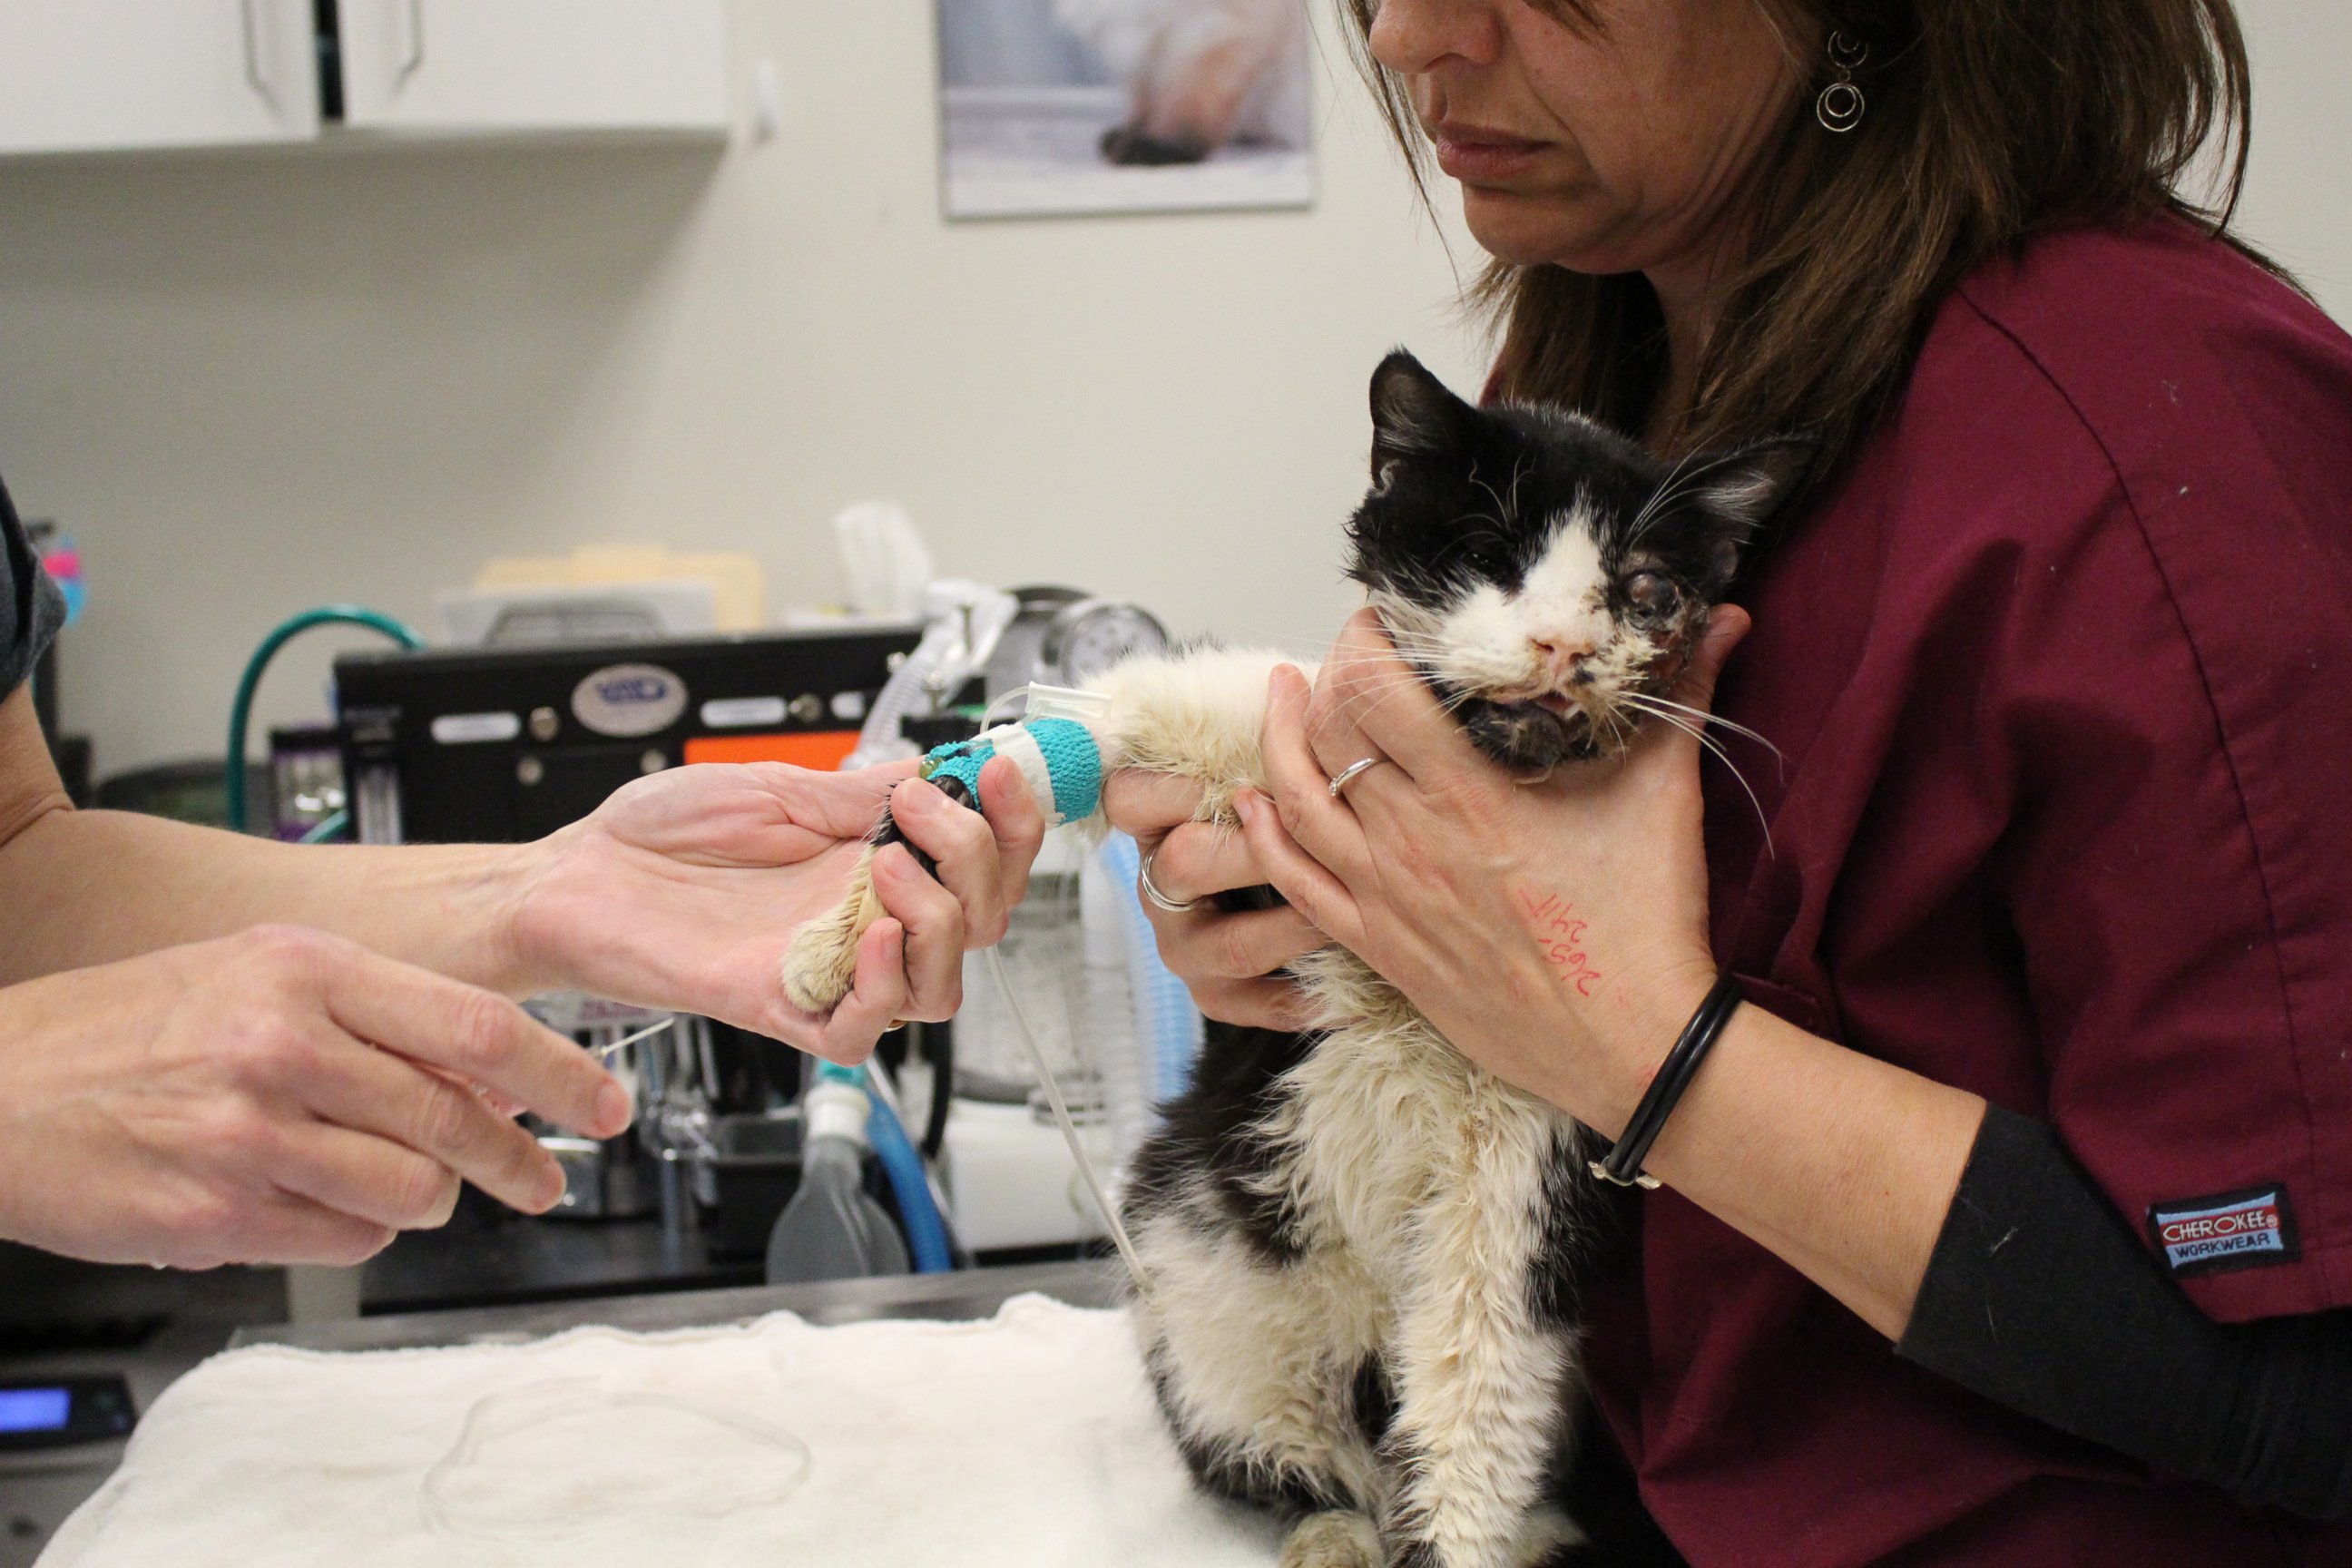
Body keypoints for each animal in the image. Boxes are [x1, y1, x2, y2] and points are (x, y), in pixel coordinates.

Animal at [776, 352, 1797, 1568]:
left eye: (1644, 591)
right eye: (1491, 556)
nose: (1562, 647)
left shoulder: (1521, 1171)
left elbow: (1477, 1403)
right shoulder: (1275, 736)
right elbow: (1083, 732)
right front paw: (850, 932)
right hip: (1195, 1272)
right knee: (1284, 1454)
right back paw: (1330, 1528)